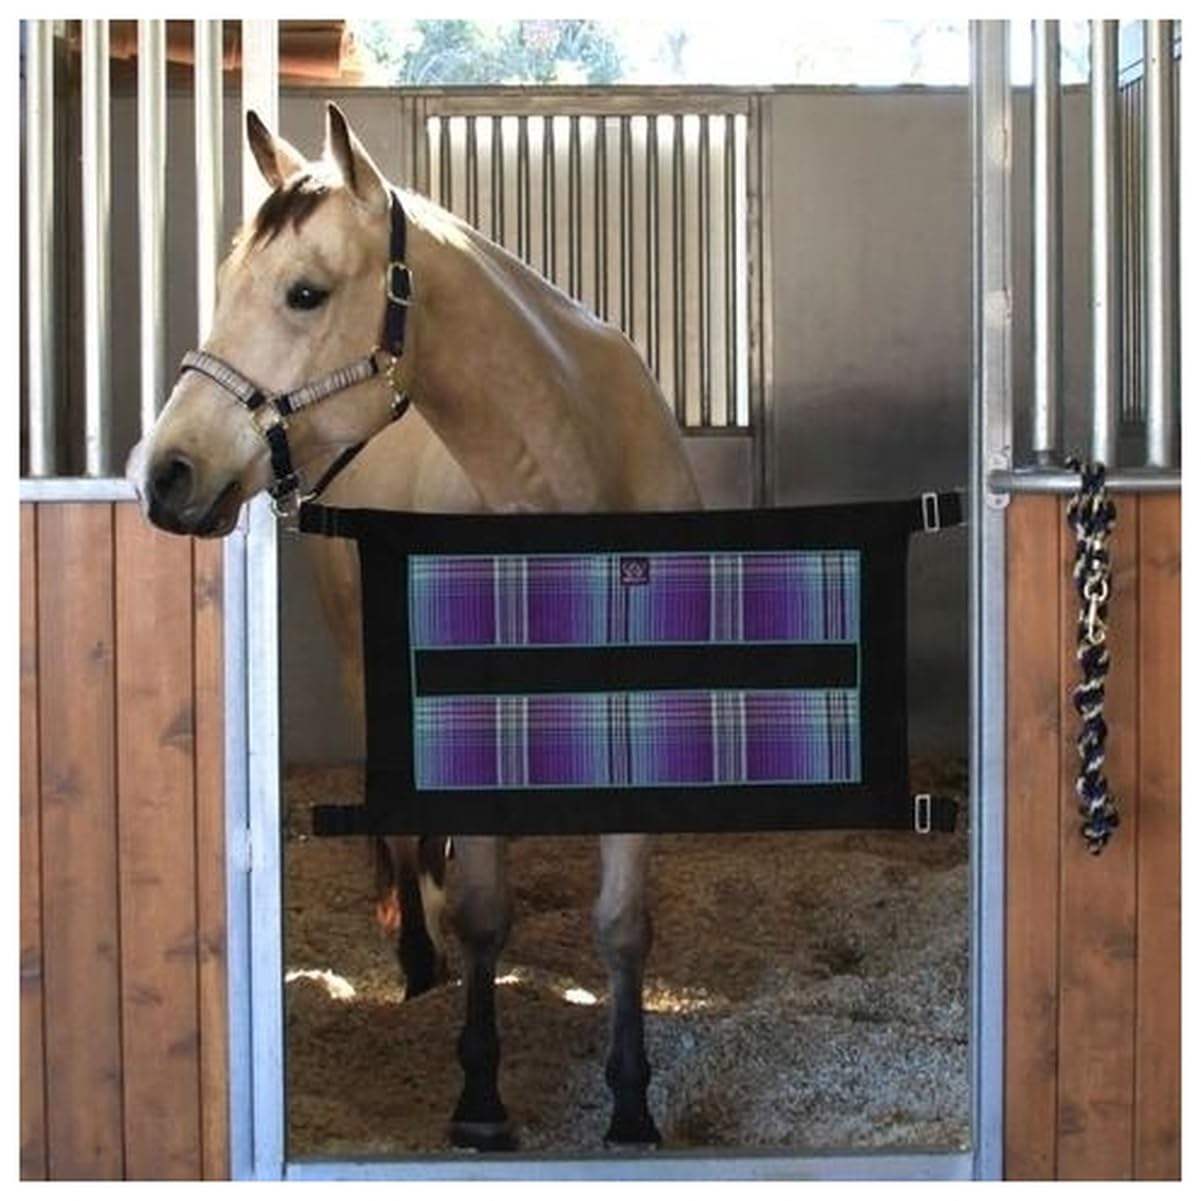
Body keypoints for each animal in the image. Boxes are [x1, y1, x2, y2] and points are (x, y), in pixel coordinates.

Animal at [129, 102, 701, 1150]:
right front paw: (478, 1096)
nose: (165, 473)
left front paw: (632, 1099)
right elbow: (481, 911)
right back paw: (415, 957)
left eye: (304, 293)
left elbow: (621, 922)